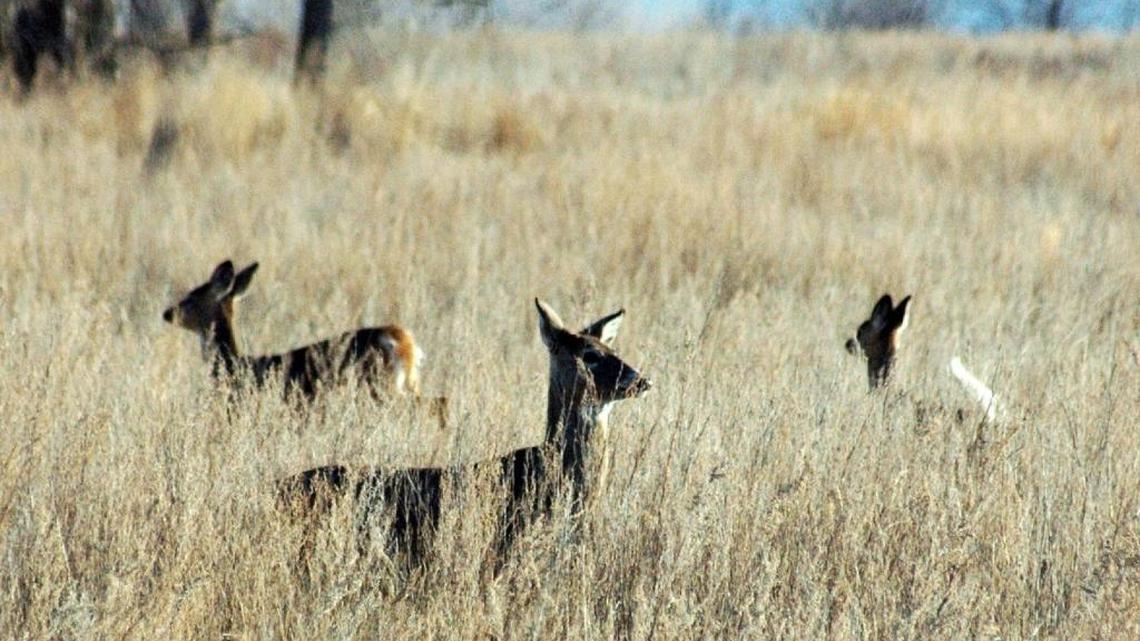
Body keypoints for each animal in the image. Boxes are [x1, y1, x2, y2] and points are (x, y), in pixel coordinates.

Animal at [163, 260, 446, 423]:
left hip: (380, 386)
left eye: (191, 297)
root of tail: (405, 340)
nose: (167, 313)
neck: (235, 364)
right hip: (406, 383)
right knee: (440, 401)